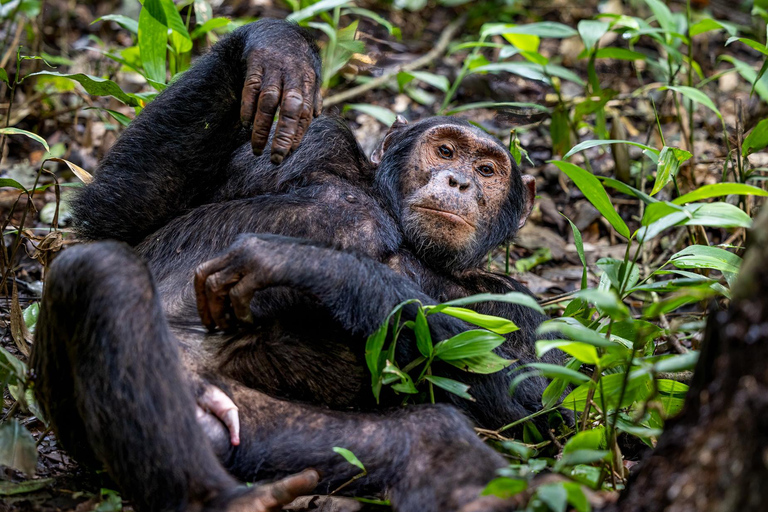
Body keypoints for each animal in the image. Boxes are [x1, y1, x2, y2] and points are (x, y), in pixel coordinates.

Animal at [31, 16, 560, 512]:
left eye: (487, 170)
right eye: (445, 149)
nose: (459, 181)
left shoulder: (520, 305)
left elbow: (538, 403)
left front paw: (309, 264)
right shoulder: (314, 144)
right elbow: (121, 218)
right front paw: (278, 51)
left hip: (256, 431)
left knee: (429, 432)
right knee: (105, 271)